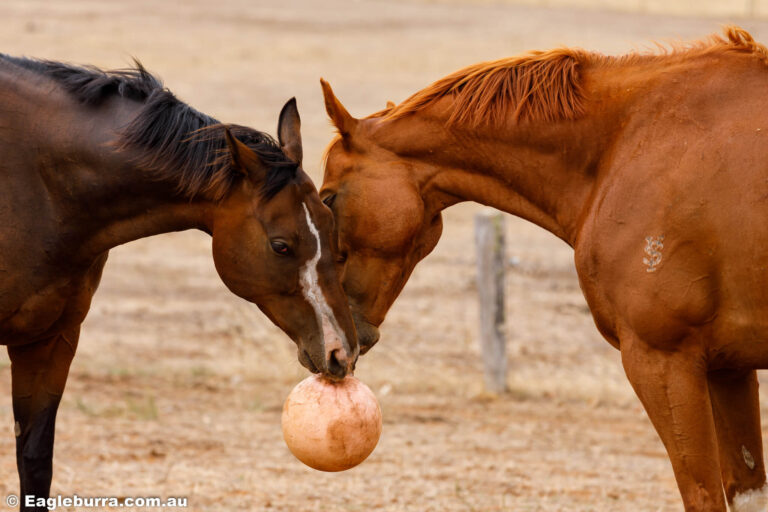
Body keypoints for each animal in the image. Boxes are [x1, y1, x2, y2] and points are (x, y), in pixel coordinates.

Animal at [0, 54, 358, 510]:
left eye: (330, 224)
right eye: (280, 245)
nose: (342, 351)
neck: (39, 185)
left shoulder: (51, 341)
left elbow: (35, 462)